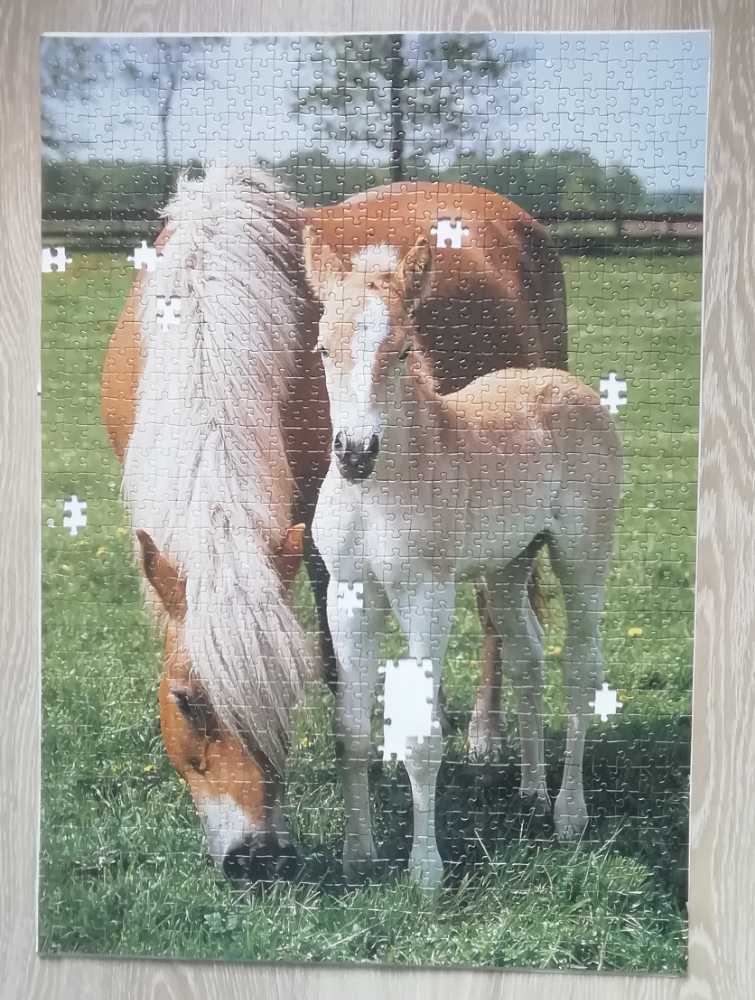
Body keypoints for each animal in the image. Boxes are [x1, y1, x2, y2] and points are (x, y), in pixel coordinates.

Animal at [101, 167, 568, 885]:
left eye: (286, 695)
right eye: (185, 701)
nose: (258, 859)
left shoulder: (324, 545)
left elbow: (333, 663)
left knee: (499, 617)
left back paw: (488, 739)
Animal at [305, 233, 622, 889]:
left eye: (402, 350)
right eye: (323, 347)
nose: (354, 454)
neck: (381, 490)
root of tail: (568, 384)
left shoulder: (427, 595)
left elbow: (423, 735)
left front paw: (425, 872)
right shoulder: (349, 592)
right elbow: (351, 728)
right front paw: (357, 856)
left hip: (583, 558)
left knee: (581, 667)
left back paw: (569, 812)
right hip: (508, 565)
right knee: (528, 654)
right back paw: (531, 789)